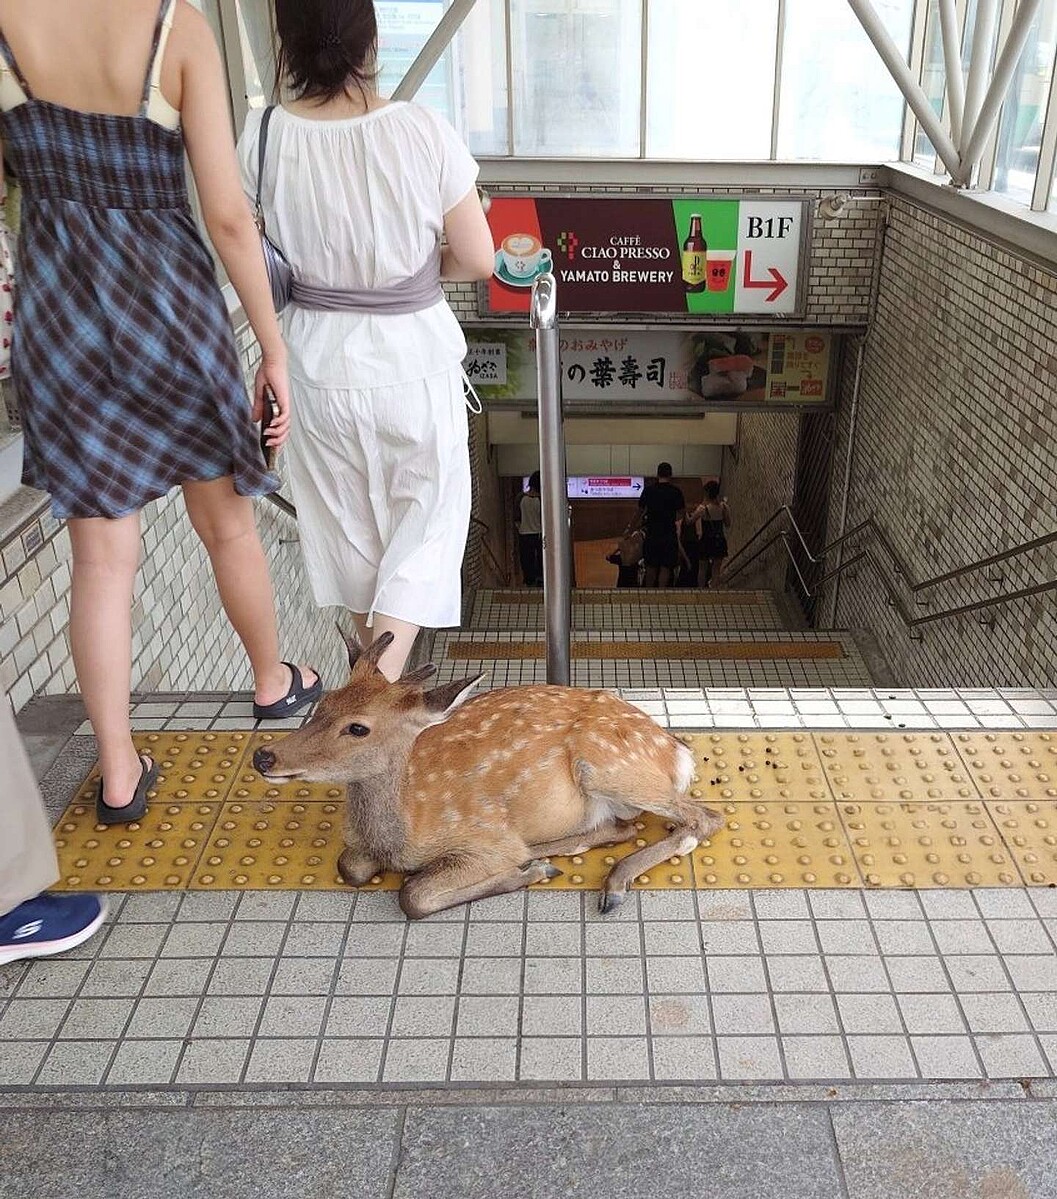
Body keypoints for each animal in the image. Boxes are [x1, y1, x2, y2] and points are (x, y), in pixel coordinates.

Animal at [251, 631, 724, 919]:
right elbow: (350, 867)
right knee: (622, 826)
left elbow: (413, 896)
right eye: (323, 703)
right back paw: (547, 855)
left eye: (358, 728)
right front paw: (531, 868)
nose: (264, 756)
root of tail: (678, 751)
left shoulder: (483, 837)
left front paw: (524, 874)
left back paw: (610, 882)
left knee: (704, 818)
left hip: (612, 764)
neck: (402, 836)